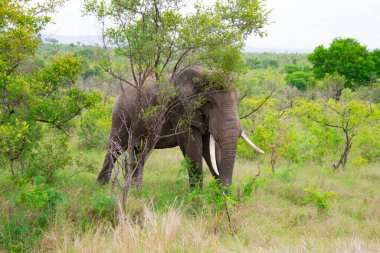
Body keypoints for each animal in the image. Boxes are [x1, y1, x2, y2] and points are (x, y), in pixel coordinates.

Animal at [97, 66, 264, 187]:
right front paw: (197, 197)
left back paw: (134, 188)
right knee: (116, 147)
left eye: (237, 100)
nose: (225, 191)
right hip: (121, 114)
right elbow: (192, 147)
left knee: (137, 150)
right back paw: (103, 186)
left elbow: (211, 150)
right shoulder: (180, 109)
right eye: (209, 103)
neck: (203, 73)